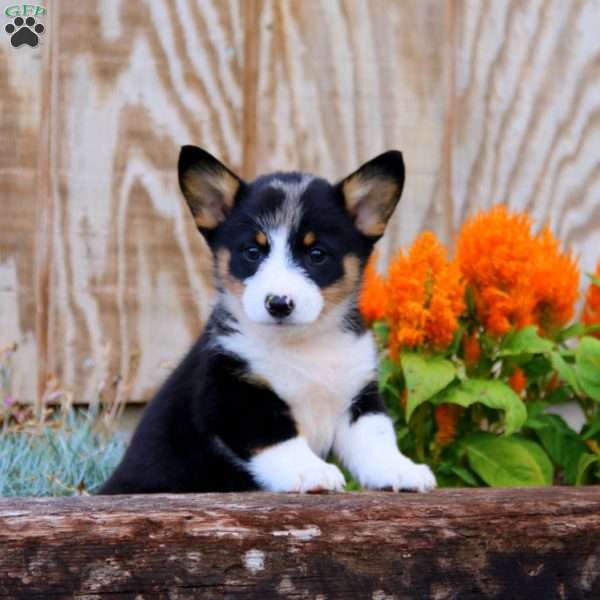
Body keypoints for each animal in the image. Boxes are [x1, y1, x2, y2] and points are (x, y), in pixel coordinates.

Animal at [98, 148, 436, 494]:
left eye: (316, 254)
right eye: (252, 252)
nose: (279, 304)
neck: (303, 345)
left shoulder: (358, 396)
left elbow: (376, 437)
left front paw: (400, 470)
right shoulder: (234, 396)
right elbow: (278, 438)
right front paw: (311, 471)